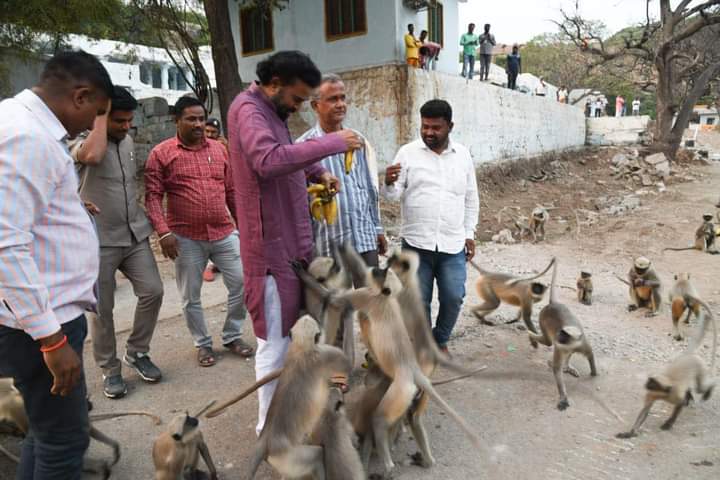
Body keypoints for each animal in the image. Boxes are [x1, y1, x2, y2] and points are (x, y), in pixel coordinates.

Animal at [528, 256, 596, 410]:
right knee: (547, 342)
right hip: (543, 318)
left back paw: (567, 367)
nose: (558, 336)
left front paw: (594, 373)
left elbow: (590, 355)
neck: (572, 343)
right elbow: (557, 369)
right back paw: (531, 337)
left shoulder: (581, 342)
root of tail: (553, 304)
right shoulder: (560, 346)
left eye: (564, 334)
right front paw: (563, 397)